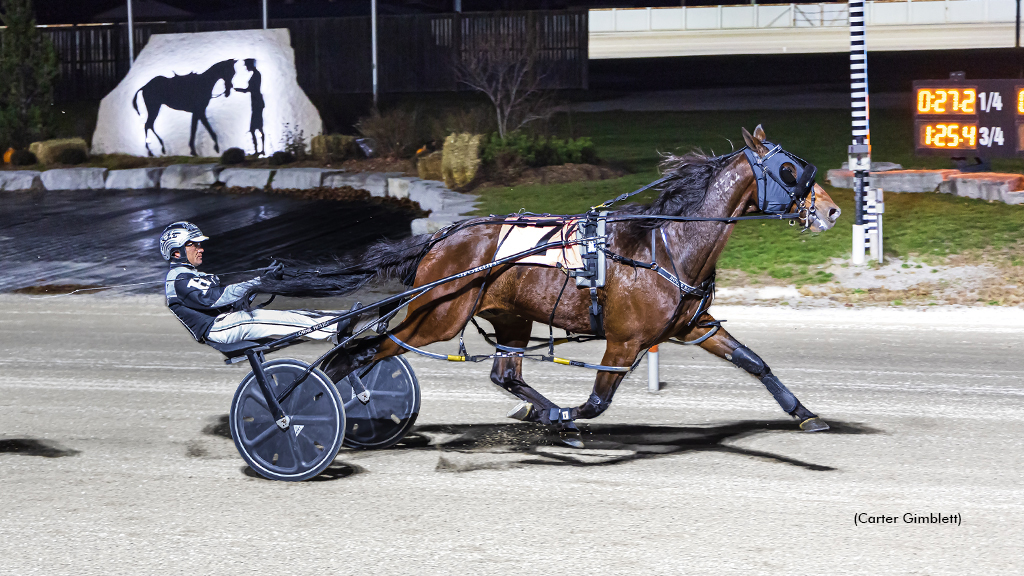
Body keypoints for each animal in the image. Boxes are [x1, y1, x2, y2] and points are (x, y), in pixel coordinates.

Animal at [253, 125, 839, 446]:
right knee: (360, 351)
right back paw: (299, 409)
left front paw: (806, 415)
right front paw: (565, 417)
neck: (664, 244)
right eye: (789, 170)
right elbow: (598, 401)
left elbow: (754, 362)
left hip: (509, 316)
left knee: (504, 372)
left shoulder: (694, 325)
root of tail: (441, 236)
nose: (832, 210)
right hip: (436, 316)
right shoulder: (625, 340)